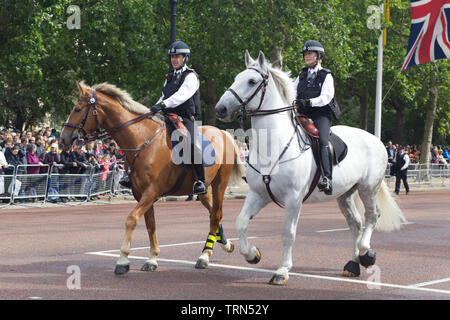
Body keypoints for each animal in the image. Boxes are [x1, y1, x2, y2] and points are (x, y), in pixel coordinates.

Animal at [59, 81, 244, 274]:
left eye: (78, 109)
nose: (63, 138)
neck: (143, 140)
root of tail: (224, 134)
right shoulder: (141, 194)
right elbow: (150, 224)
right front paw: (152, 258)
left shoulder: (151, 192)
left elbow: (132, 219)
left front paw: (123, 260)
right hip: (204, 189)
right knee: (213, 214)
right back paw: (224, 243)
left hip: (220, 184)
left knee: (216, 214)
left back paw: (205, 256)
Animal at [215, 51, 408, 286]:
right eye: (236, 78)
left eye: (251, 81)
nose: (220, 109)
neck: (274, 146)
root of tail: (376, 140)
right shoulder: (259, 193)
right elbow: (242, 222)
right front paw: (252, 254)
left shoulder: (293, 199)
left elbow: (288, 233)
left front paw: (282, 271)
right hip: (345, 194)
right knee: (355, 223)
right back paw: (353, 264)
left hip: (367, 188)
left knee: (372, 216)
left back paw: (365, 254)